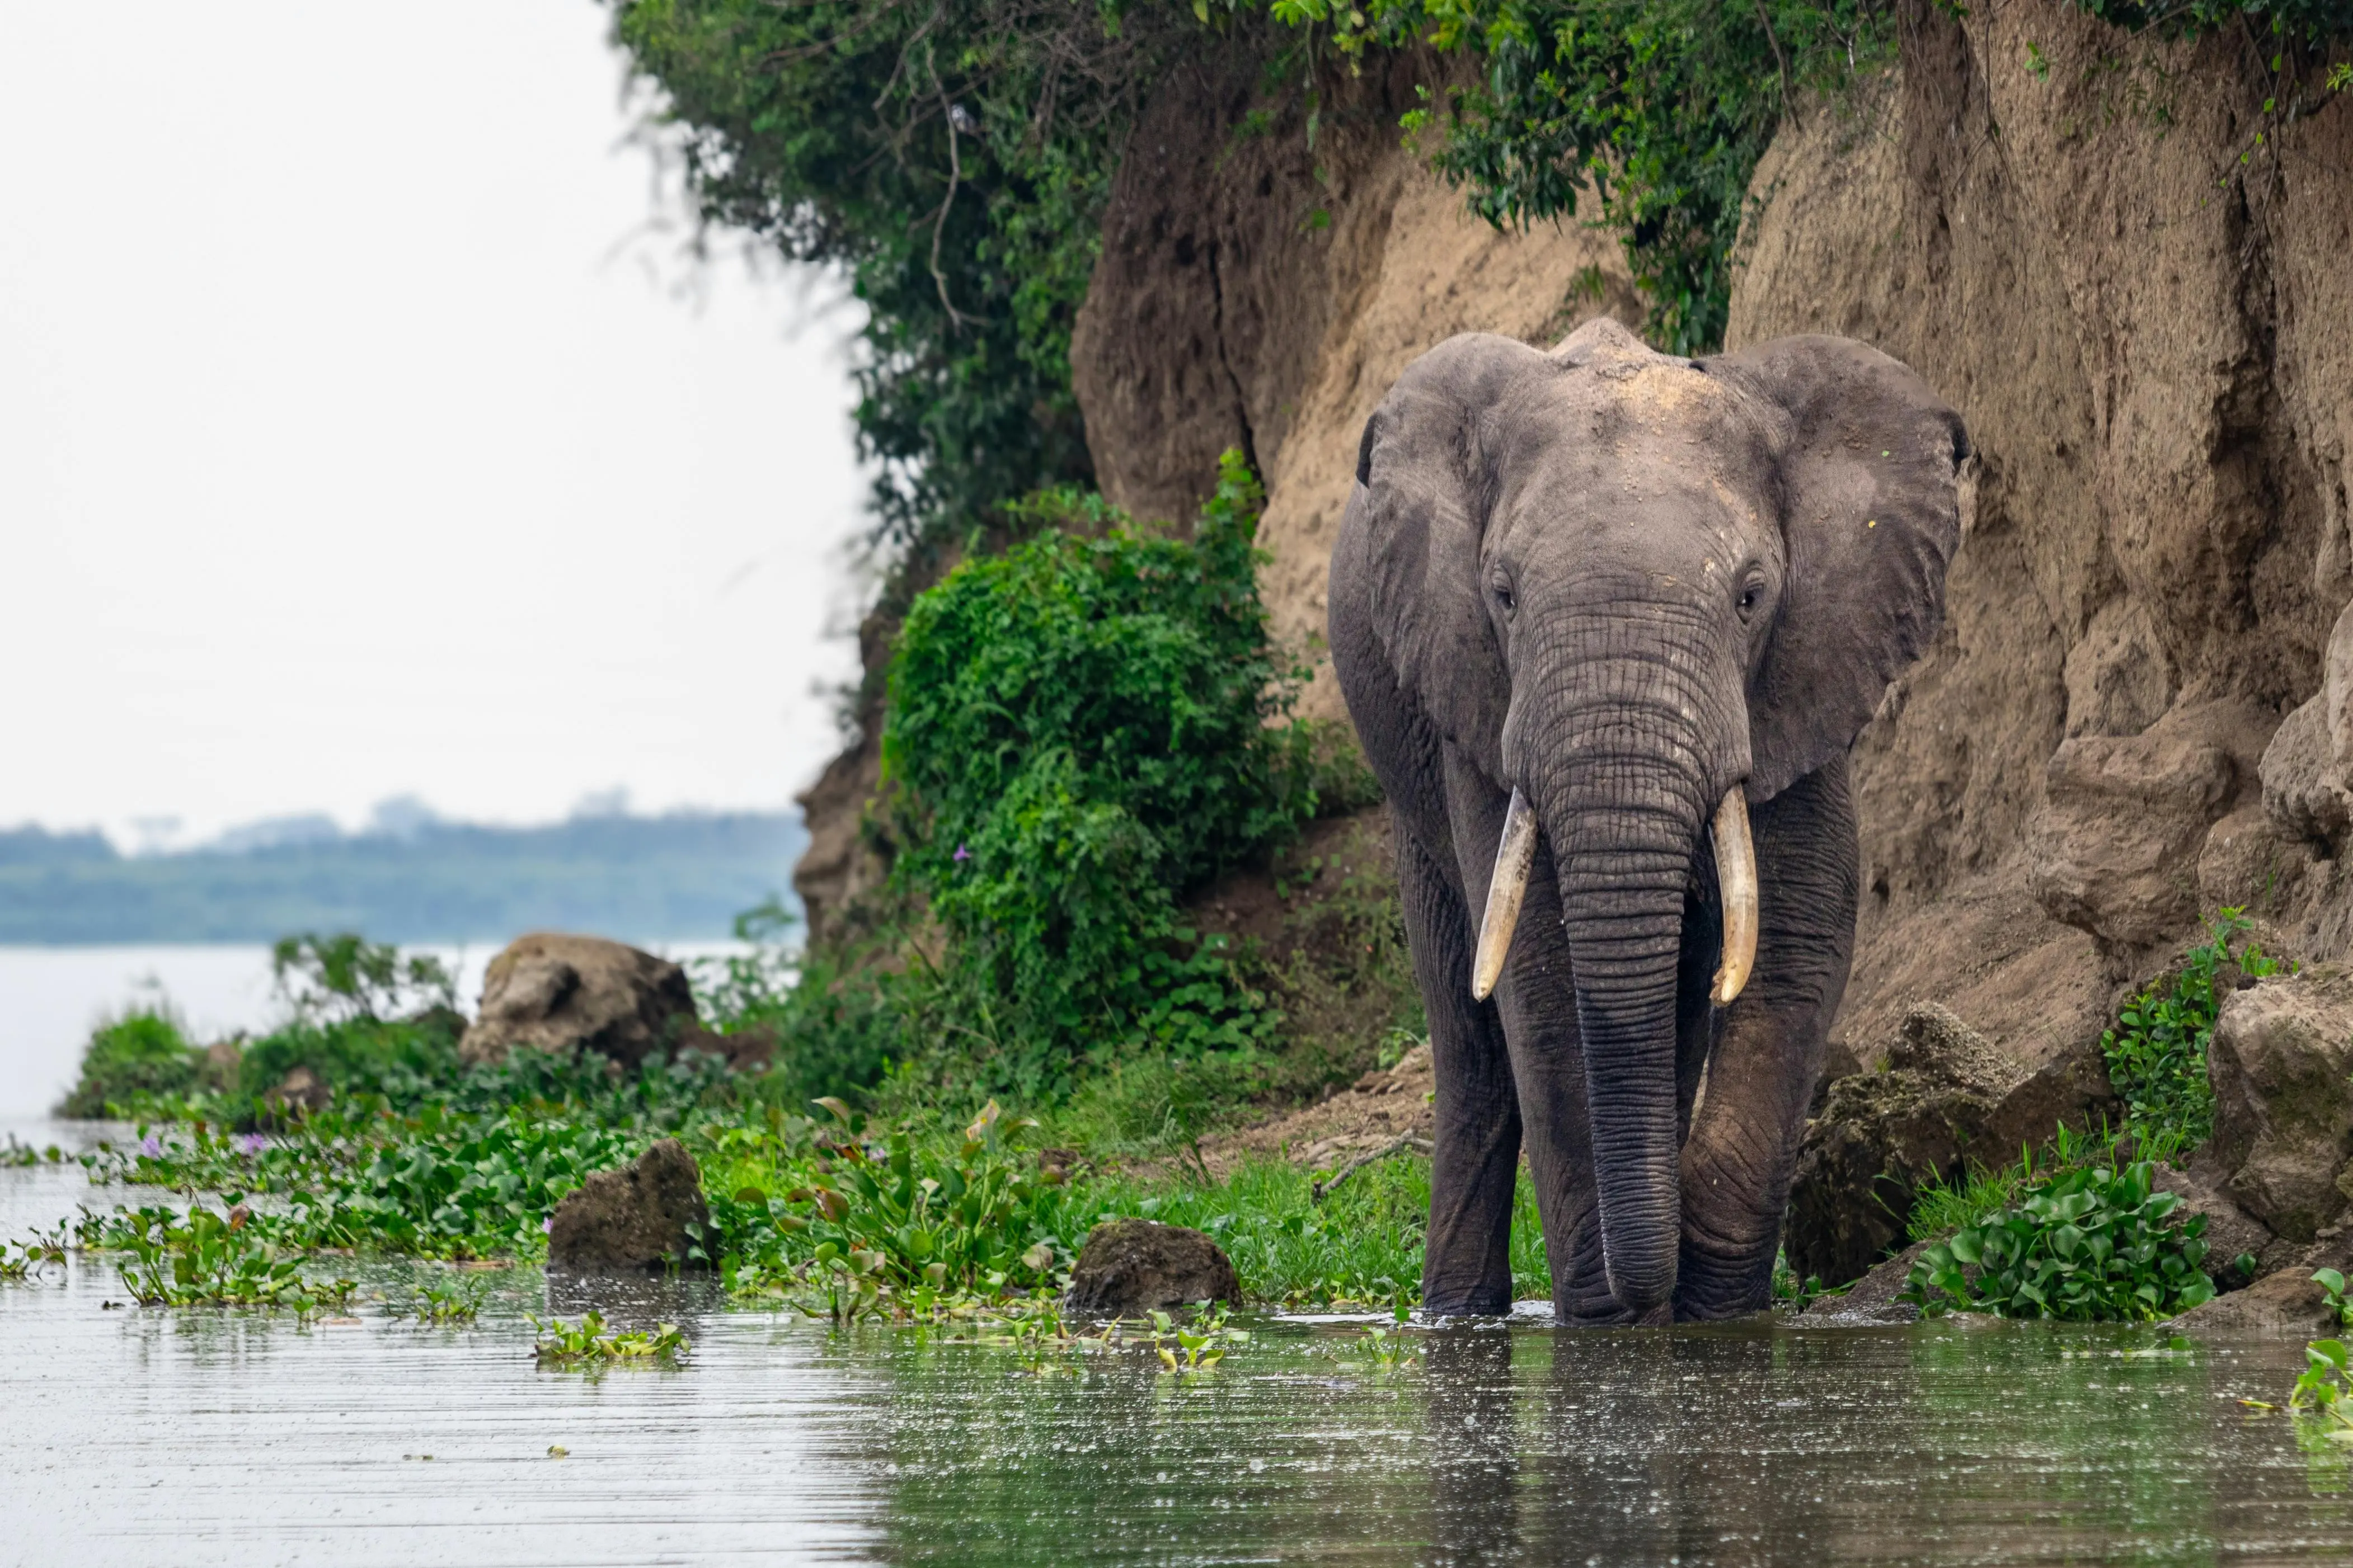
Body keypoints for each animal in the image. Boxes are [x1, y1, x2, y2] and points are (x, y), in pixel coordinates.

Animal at [1328, 316, 1968, 1324]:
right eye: (1502, 594)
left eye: (1751, 595)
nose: (1645, 1294)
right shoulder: (1474, 691)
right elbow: (1539, 967)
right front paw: (1612, 1317)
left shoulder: (1806, 669)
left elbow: (1799, 930)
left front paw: (1714, 1308)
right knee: (1470, 1037)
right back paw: (1459, 1313)